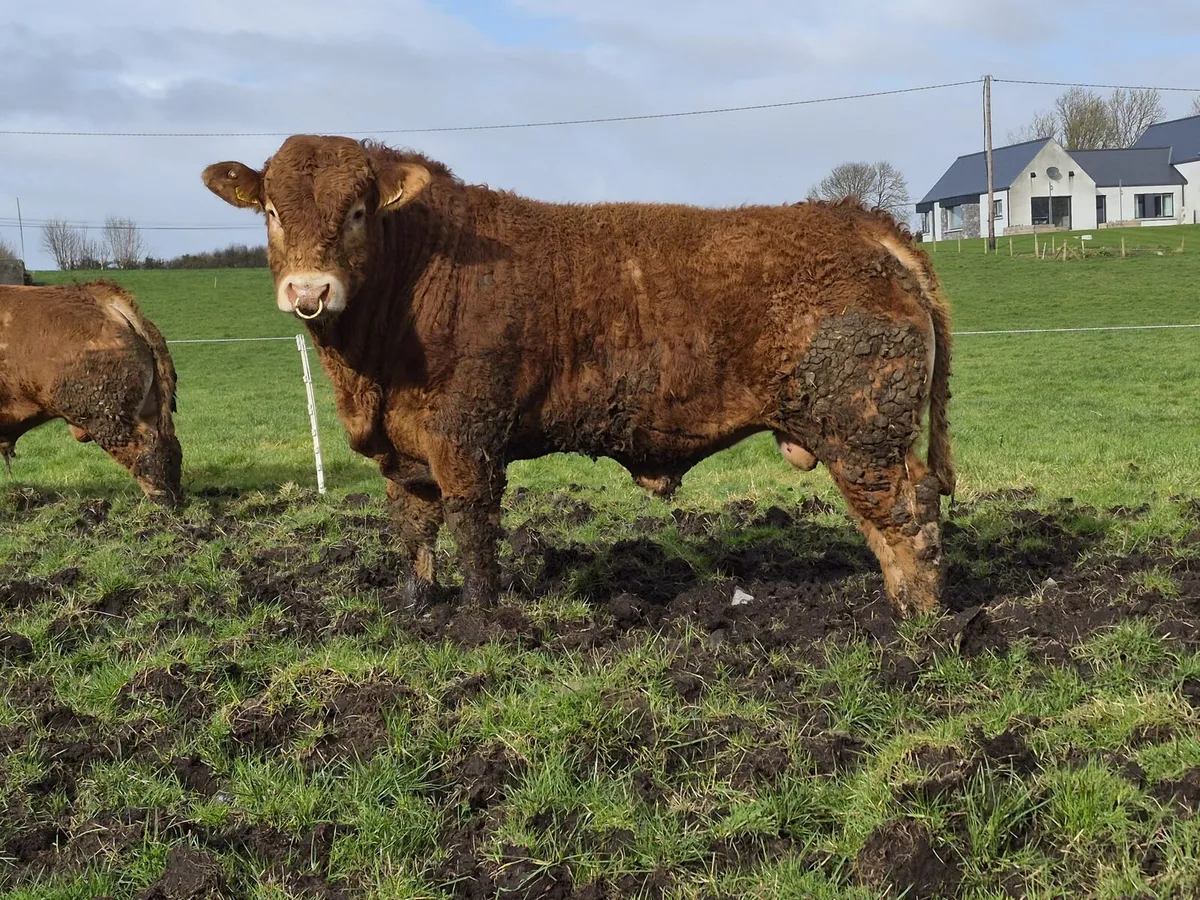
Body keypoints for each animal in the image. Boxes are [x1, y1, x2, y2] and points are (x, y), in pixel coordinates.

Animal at [201, 135, 955, 618]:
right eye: (272, 212)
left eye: (357, 212)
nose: (310, 290)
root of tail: (859, 221)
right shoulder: (403, 446)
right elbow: (414, 530)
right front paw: (414, 610)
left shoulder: (467, 434)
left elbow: (472, 528)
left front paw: (479, 624)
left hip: (861, 428)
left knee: (905, 516)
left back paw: (913, 622)